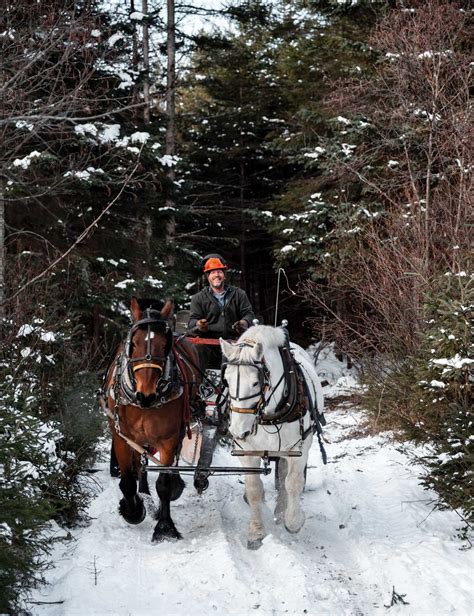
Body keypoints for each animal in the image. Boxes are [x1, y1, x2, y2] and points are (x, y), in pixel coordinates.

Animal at [103, 296, 200, 540]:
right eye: (134, 343)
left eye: (165, 345)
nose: (146, 394)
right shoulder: (122, 436)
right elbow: (128, 480)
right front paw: (133, 510)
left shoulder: (169, 438)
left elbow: (164, 483)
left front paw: (165, 527)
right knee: (141, 463)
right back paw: (144, 495)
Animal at [220, 324, 324, 552]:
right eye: (227, 381)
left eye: (255, 382)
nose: (238, 431)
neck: (267, 413)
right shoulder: (247, 452)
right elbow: (253, 489)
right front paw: (256, 533)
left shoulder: (298, 448)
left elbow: (292, 483)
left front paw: (293, 521)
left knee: (285, 477)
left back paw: (282, 510)